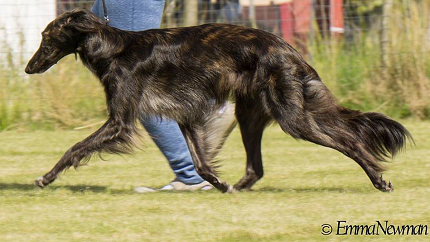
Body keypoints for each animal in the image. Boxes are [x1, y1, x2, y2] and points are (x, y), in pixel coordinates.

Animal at [26, 9, 410, 193]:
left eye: (46, 36)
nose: (29, 68)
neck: (113, 49)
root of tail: (288, 49)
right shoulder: (184, 115)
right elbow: (201, 163)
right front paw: (220, 185)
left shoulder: (120, 120)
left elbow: (75, 147)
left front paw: (46, 177)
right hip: (251, 115)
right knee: (256, 168)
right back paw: (237, 188)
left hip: (292, 118)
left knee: (350, 142)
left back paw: (379, 180)